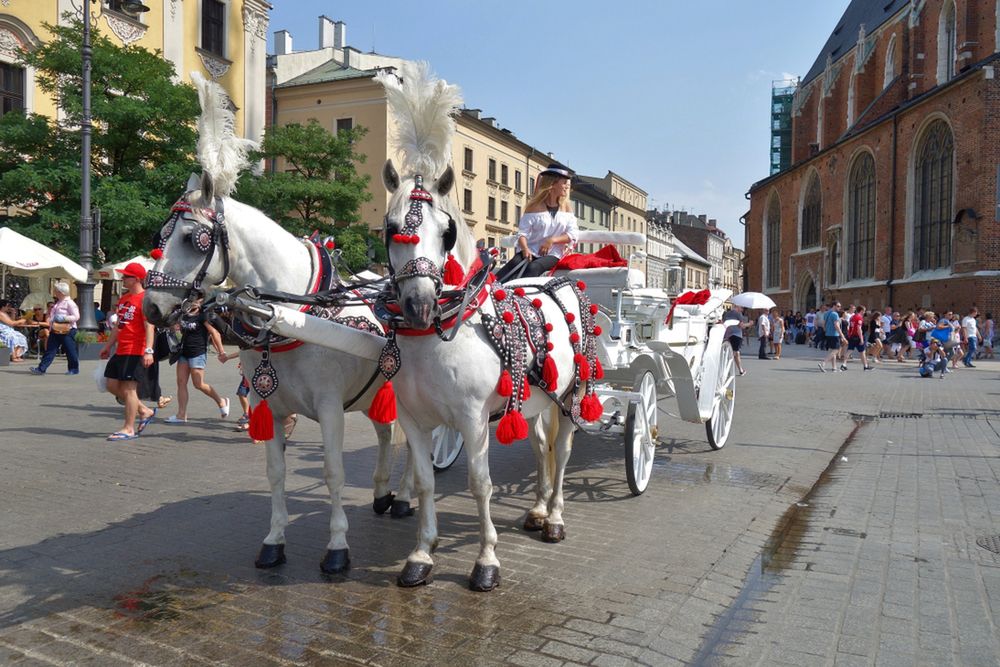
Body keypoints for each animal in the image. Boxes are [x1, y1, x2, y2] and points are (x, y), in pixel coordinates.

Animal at [141, 72, 410, 576]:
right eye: (160, 236)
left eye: (192, 238)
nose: (150, 308)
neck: (289, 315)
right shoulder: (273, 405)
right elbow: (276, 472)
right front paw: (274, 540)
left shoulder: (329, 408)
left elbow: (333, 472)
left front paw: (337, 547)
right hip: (375, 393)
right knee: (388, 435)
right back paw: (383, 492)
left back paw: (405, 496)